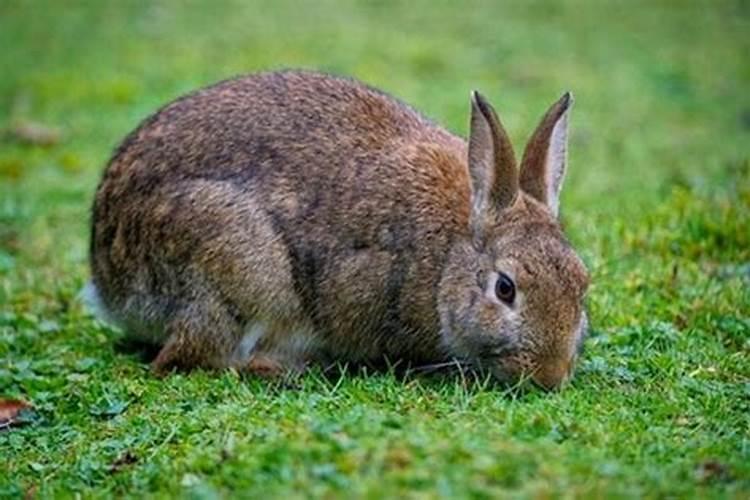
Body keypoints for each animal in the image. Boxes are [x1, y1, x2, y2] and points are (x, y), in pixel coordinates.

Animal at [85, 69, 592, 390]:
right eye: (505, 289)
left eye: (583, 283)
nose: (550, 376)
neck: (450, 251)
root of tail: (105, 276)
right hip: (233, 262)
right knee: (190, 358)